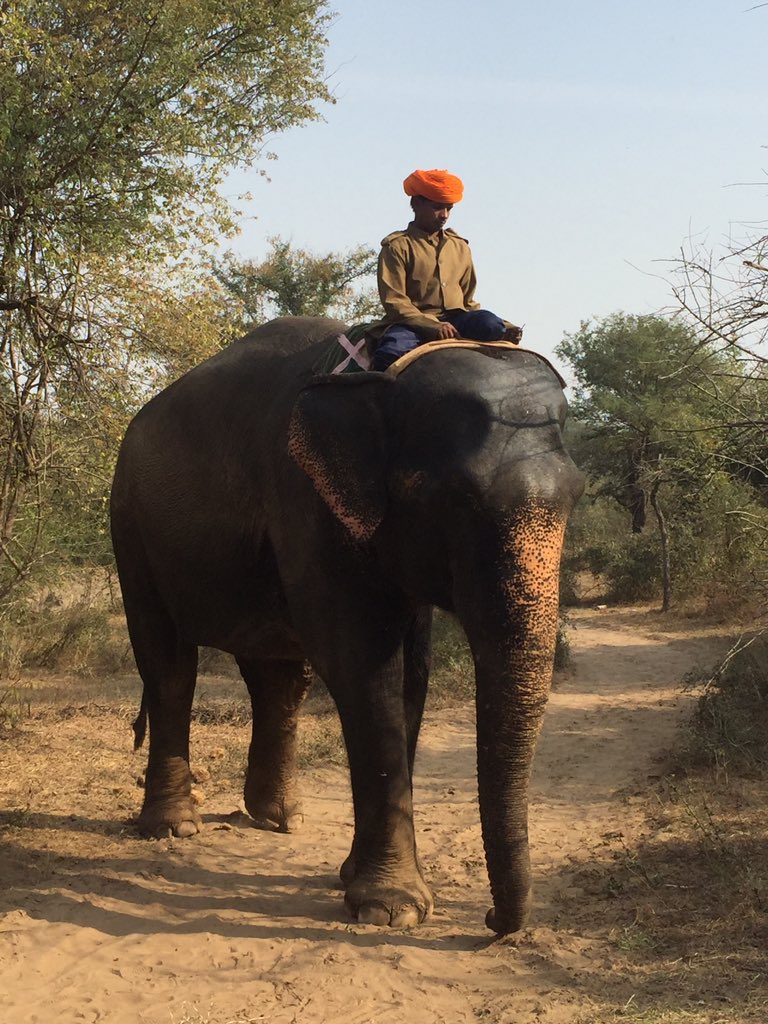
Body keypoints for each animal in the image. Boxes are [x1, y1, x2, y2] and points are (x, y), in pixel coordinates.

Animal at [110, 315, 583, 934]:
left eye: (577, 496)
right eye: (456, 500)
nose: (489, 920)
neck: (379, 385)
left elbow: (411, 678)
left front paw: (357, 882)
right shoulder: (307, 501)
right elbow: (363, 666)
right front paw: (390, 909)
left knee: (279, 678)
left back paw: (280, 818)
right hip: (130, 526)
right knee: (168, 665)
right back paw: (172, 828)